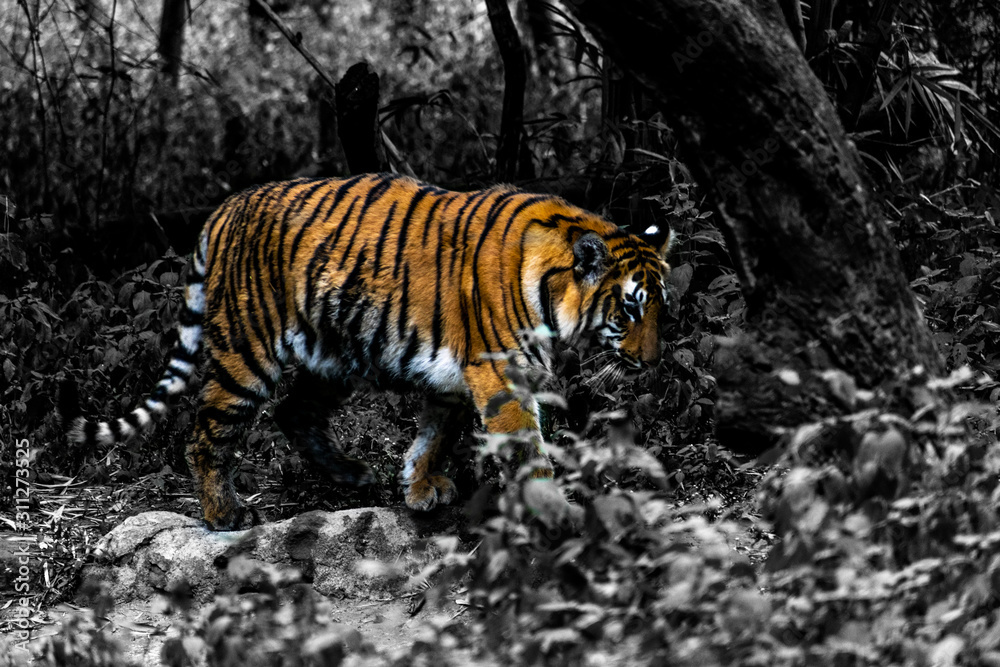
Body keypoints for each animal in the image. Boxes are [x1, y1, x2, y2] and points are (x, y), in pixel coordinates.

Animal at [61, 173, 674, 530]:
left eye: (660, 308)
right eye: (629, 310)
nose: (652, 363)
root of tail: (227, 207)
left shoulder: (456, 374)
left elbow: (436, 433)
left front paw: (418, 487)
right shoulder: (500, 372)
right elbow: (525, 447)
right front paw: (557, 512)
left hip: (333, 352)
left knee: (294, 411)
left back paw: (353, 474)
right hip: (247, 352)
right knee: (206, 433)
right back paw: (225, 514)